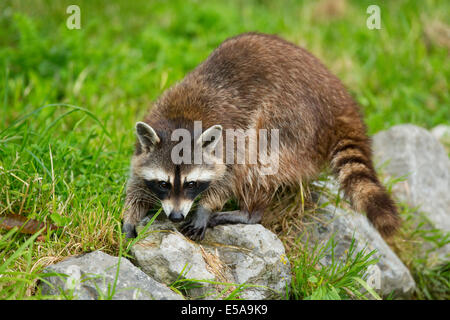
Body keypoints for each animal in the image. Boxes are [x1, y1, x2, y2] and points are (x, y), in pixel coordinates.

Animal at [123, 31, 400, 240]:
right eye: (163, 184)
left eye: (192, 184)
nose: (176, 216)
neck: (180, 121)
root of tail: (340, 101)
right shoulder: (152, 128)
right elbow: (136, 180)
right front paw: (130, 215)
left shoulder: (230, 140)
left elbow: (231, 175)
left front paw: (206, 207)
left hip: (294, 120)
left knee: (259, 154)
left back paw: (249, 213)